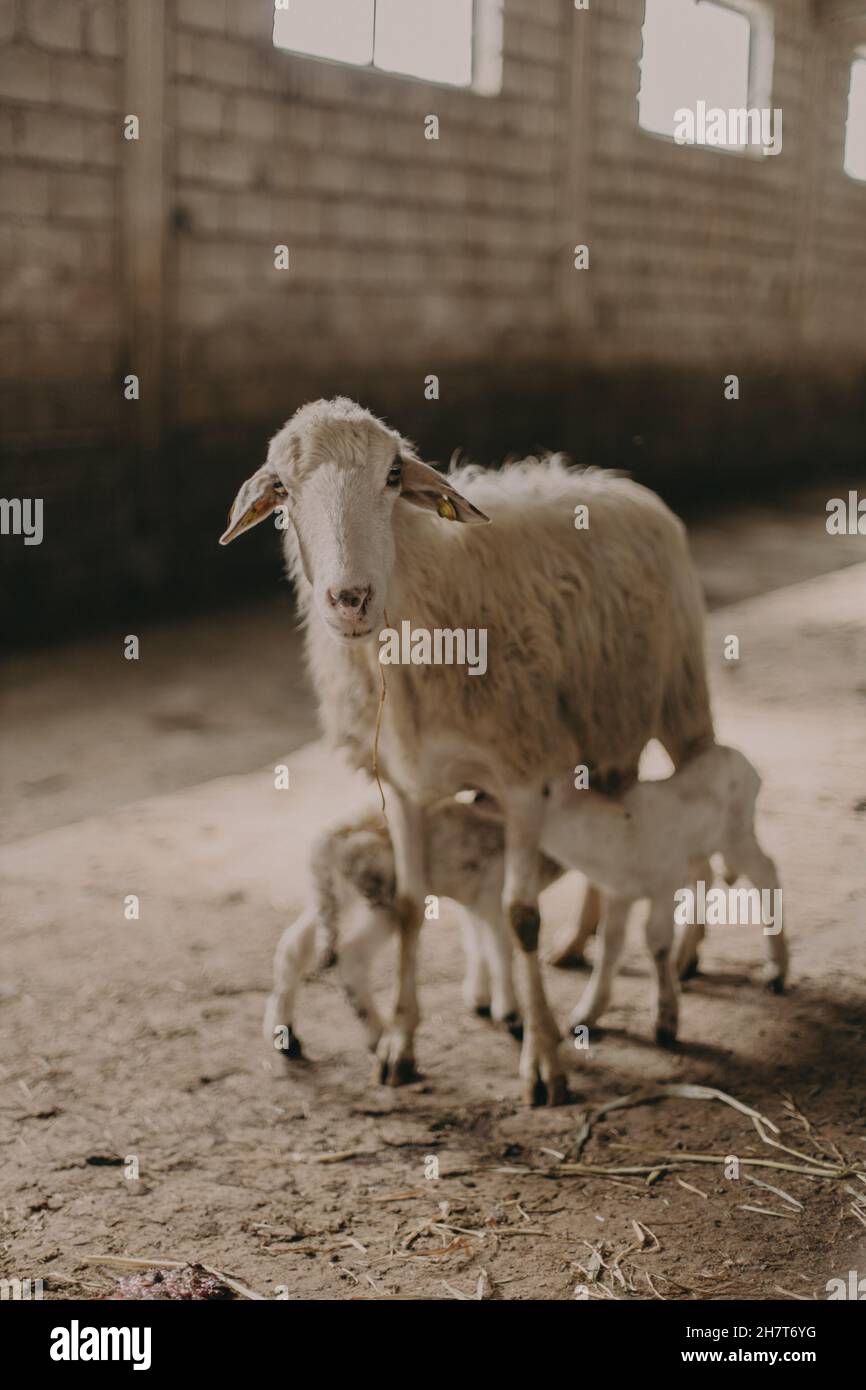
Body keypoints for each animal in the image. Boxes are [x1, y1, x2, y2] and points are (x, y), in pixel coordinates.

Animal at [221, 396, 714, 1104]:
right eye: (282, 489)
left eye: (394, 474)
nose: (351, 600)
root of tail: (619, 483)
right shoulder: (400, 787)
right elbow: (407, 908)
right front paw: (399, 1048)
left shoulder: (522, 776)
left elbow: (519, 915)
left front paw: (543, 1062)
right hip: (606, 729)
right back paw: (579, 950)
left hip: (682, 700)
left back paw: (686, 959)